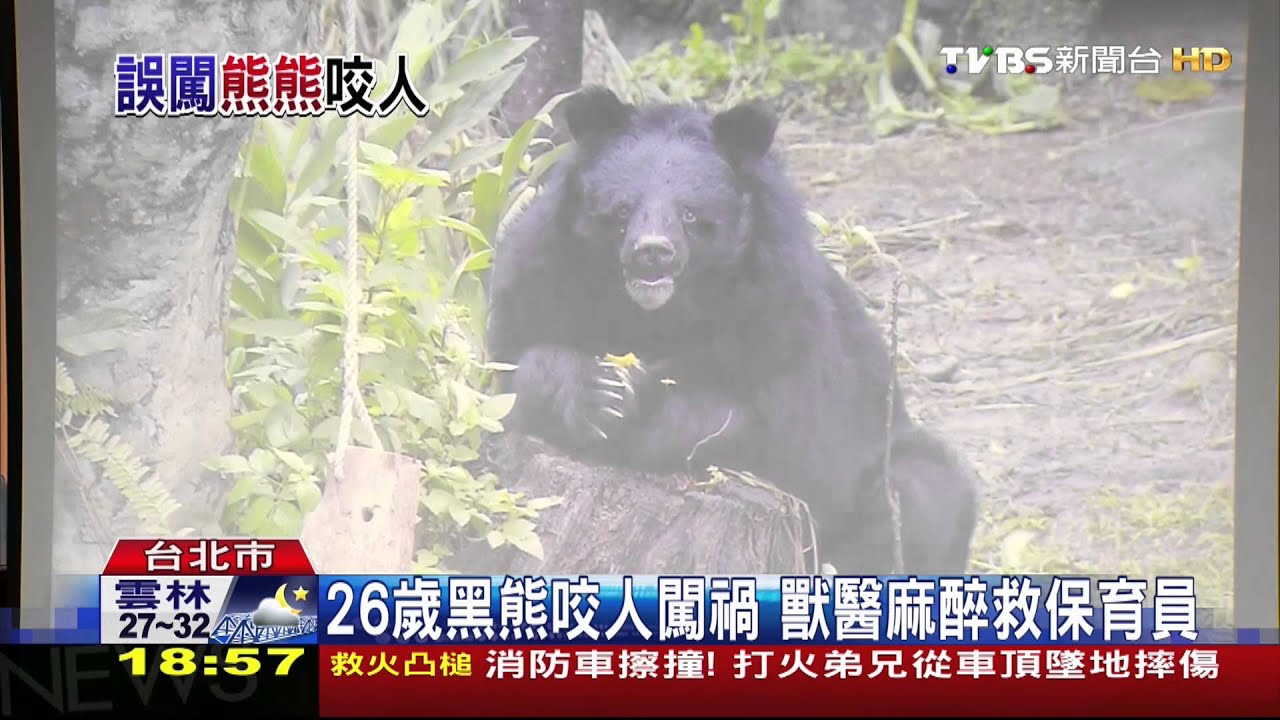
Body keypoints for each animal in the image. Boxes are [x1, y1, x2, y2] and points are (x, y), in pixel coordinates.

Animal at [485, 86, 979, 574]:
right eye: (623, 209)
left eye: (689, 214)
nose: (652, 253)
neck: (655, 312)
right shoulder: (539, 276)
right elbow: (515, 368)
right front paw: (598, 395)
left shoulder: (779, 315)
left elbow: (749, 422)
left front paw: (637, 402)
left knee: (922, 494)